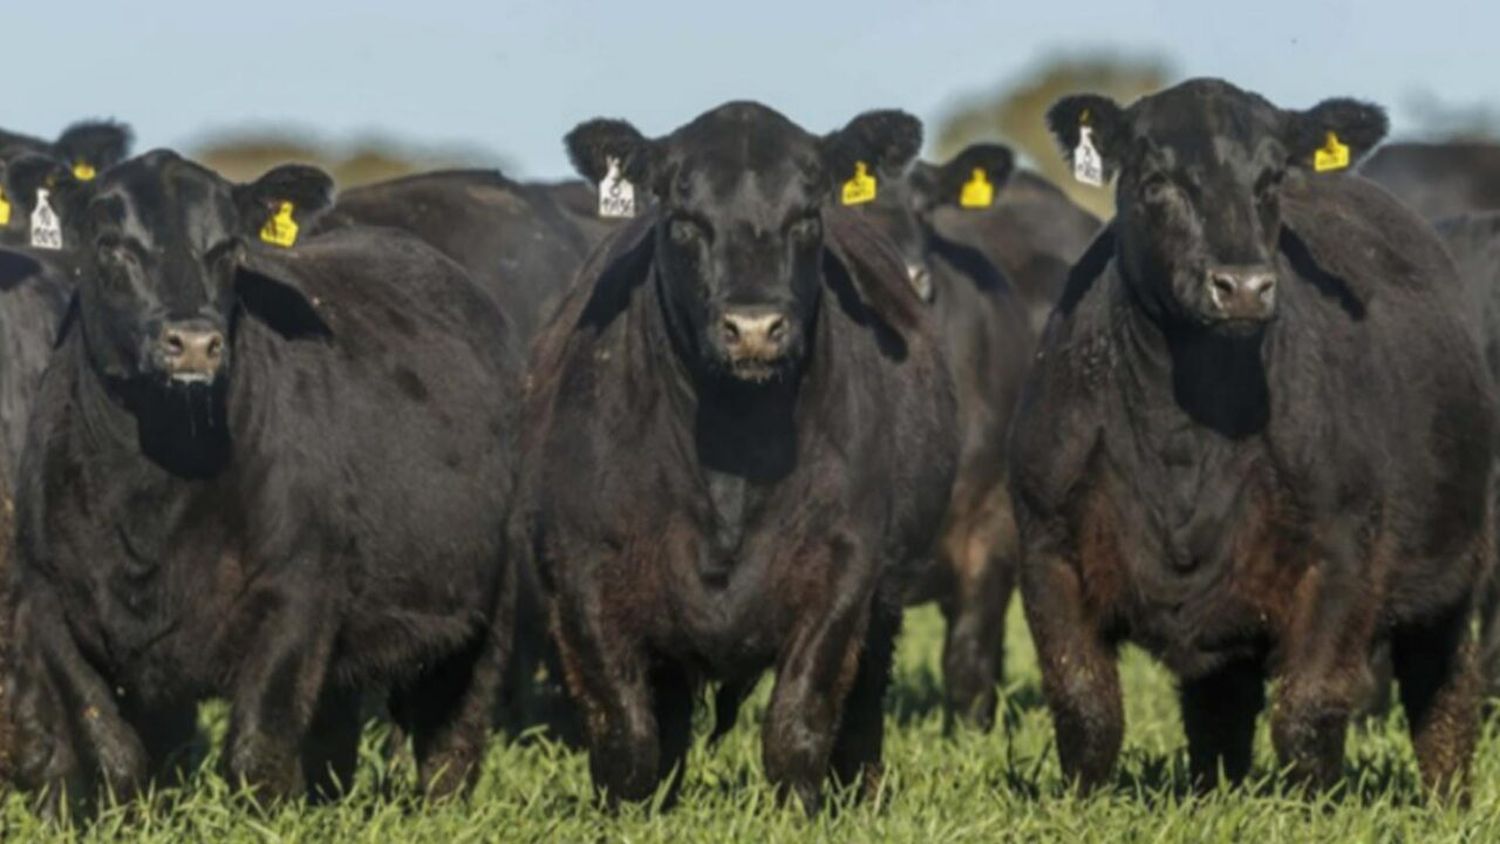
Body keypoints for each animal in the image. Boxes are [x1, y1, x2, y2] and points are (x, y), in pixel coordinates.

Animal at [0, 152, 525, 809]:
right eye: (111, 245)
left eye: (228, 248)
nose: (193, 343)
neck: (149, 498)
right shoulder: (51, 598)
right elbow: (114, 751)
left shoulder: (297, 589)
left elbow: (259, 750)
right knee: (334, 731)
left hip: (488, 601)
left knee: (453, 731)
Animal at [519, 104, 960, 809]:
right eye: (683, 218)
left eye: (807, 214)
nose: (753, 329)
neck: (732, 451)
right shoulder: (581, 569)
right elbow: (623, 730)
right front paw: (630, 813)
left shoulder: (845, 565)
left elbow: (799, 720)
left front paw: (797, 812)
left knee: (862, 710)